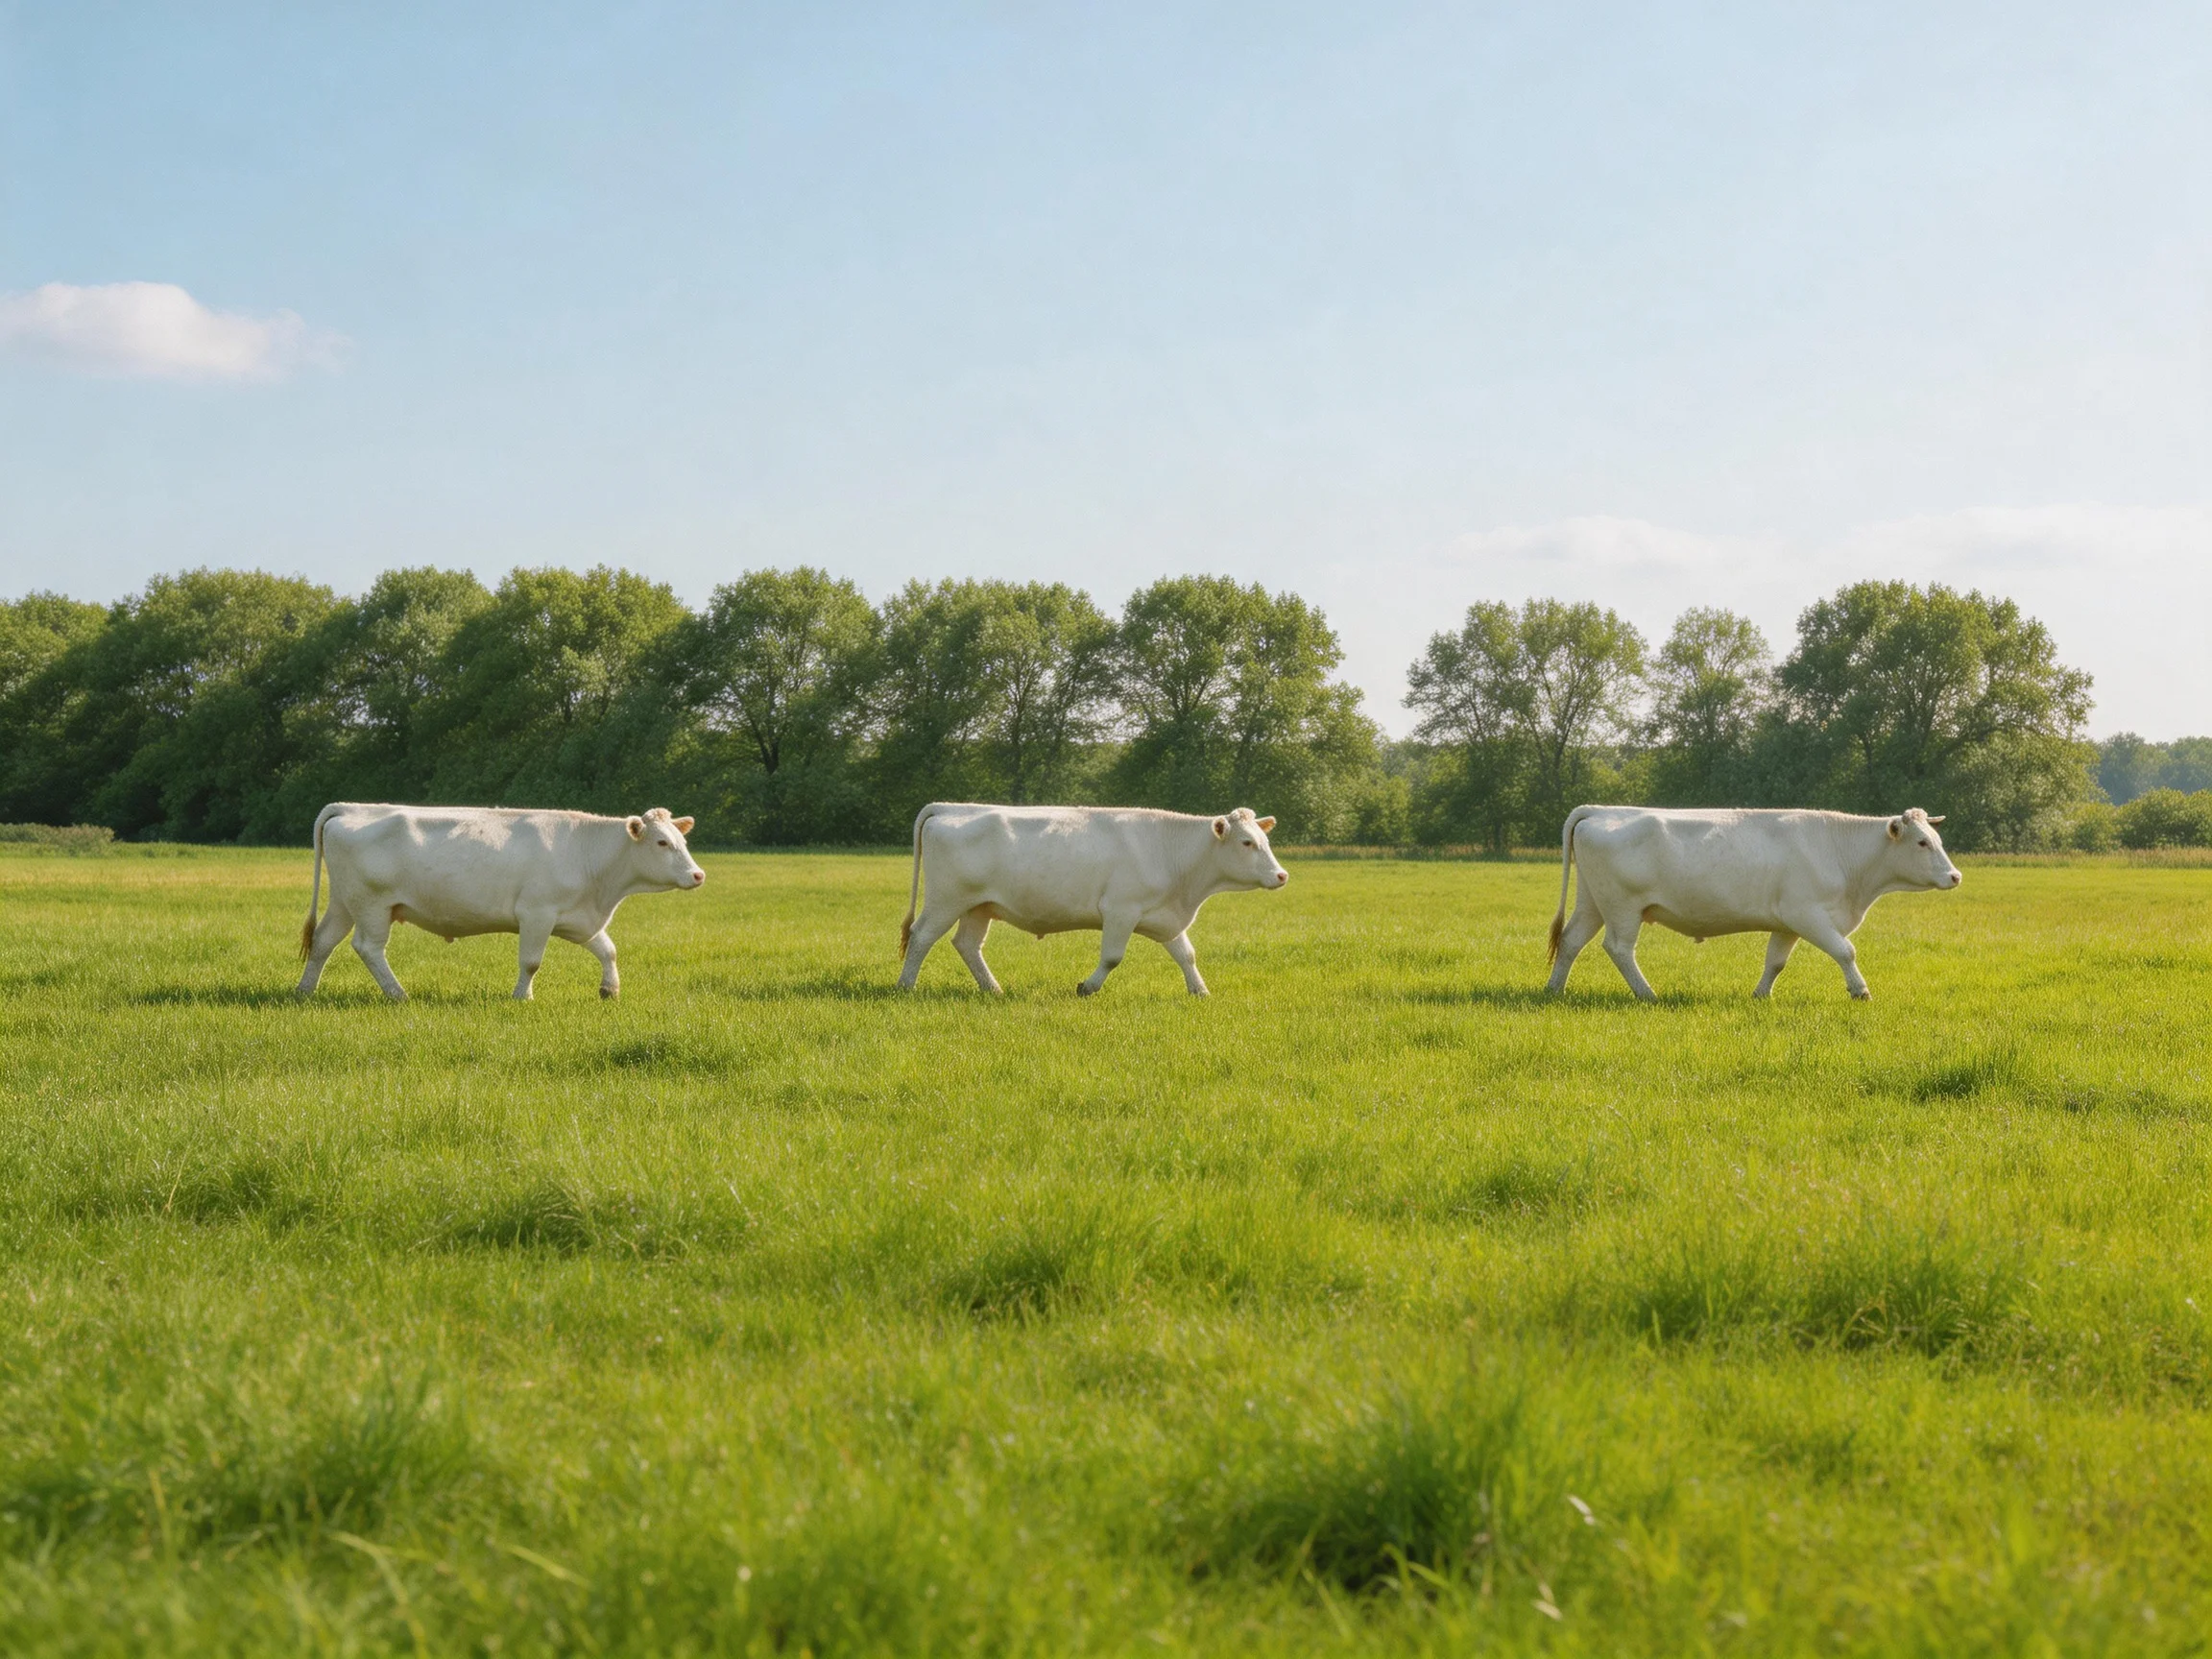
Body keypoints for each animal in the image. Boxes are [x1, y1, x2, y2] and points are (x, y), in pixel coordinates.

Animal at [294, 803, 705, 1002]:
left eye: (681, 840)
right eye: (661, 842)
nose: (698, 875)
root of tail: (352, 808)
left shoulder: (579, 918)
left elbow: (608, 950)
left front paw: (610, 990)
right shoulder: (536, 913)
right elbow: (532, 961)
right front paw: (523, 997)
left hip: (345, 902)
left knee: (324, 941)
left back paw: (305, 991)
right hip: (372, 905)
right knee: (368, 947)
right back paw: (398, 994)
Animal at [896, 803, 1289, 997]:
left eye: (1264, 840)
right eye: (1247, 843)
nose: (1281, 875)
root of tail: (950, 807)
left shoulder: (1165, 916)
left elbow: (1186, 955)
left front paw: (1200, 991)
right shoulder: (1120, 910)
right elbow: (1113, 957)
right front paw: (1087, 987)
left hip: (979, 906)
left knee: (967, 944)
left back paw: (993, 989)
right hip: (946, 900)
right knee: (921, 936)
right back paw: (905, 987)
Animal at [1545, 805, 1961, 1002]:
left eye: (1936, 838)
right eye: (1922, 842)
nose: (1955, 876)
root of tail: (1601, 810)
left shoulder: (1787, 923)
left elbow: (1775, 962)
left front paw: (1760, 995)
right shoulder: (1807, 914)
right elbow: (1846, 950)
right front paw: (1860, 991)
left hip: (1593, 903)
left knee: (1571, 940)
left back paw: (1554, 989)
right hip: (1622, 908)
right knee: (1619, 948)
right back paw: (1647, 994)